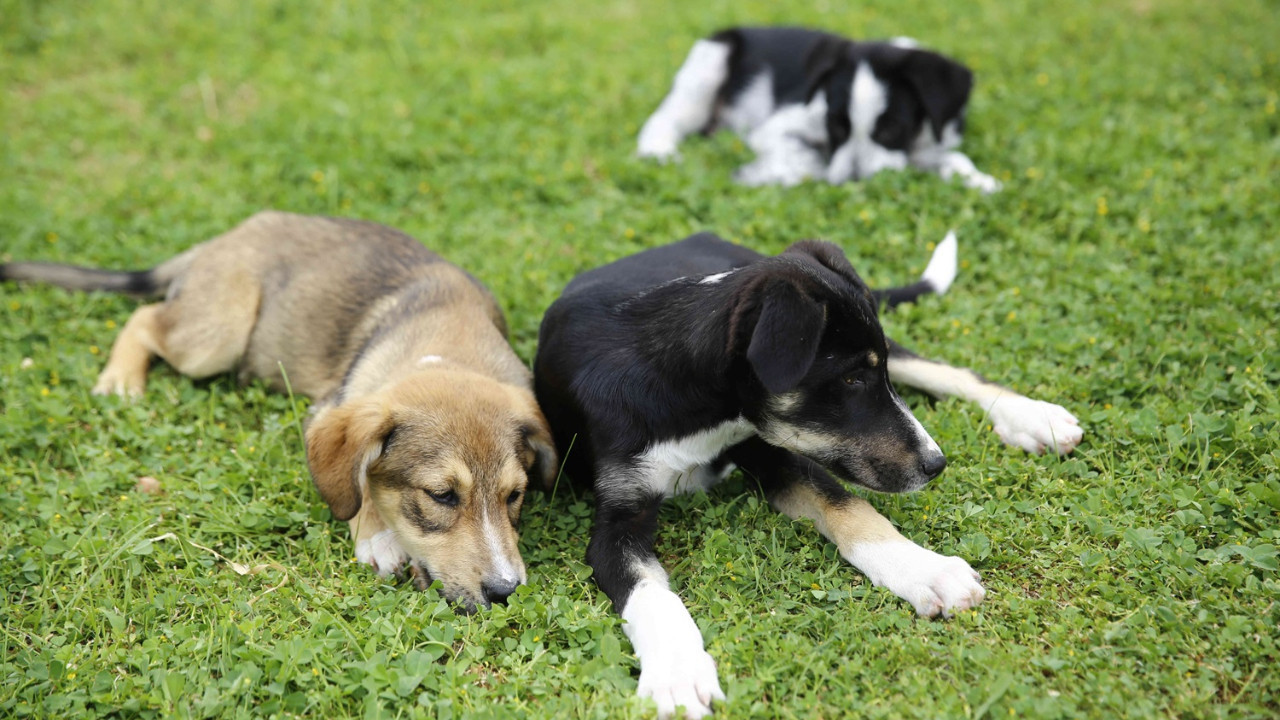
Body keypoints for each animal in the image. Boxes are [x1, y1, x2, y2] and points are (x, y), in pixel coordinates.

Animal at [2, 210, 558, 607]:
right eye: (441, 496)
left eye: (515, 495)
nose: (506, 592)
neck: (449, 342)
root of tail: (224, 237)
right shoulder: (333, 409)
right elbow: (358, 487)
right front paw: (377, 537)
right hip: (215, 335)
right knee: (145, 318)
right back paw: (120, 381)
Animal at [535, 233, 1085, 712]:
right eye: (851, 378)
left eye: (869, 376)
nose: (936, 465)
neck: (691, 397)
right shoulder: (616, 523)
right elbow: (651, 596)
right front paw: (677, 676)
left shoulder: (773, 452)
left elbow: (851, 508)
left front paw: (925, 571)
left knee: (948, 371)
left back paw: (1032, 416)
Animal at [634, 26, 1003, 192]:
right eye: (835, 124)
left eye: (890, 129)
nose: (853, 183)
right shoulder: (775, 128)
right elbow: (806, 156)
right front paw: (769, 173)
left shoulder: (926, 146)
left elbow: (952, 157)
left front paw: (979, 180)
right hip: (709, 65)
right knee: (663, 118)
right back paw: (658, 151)